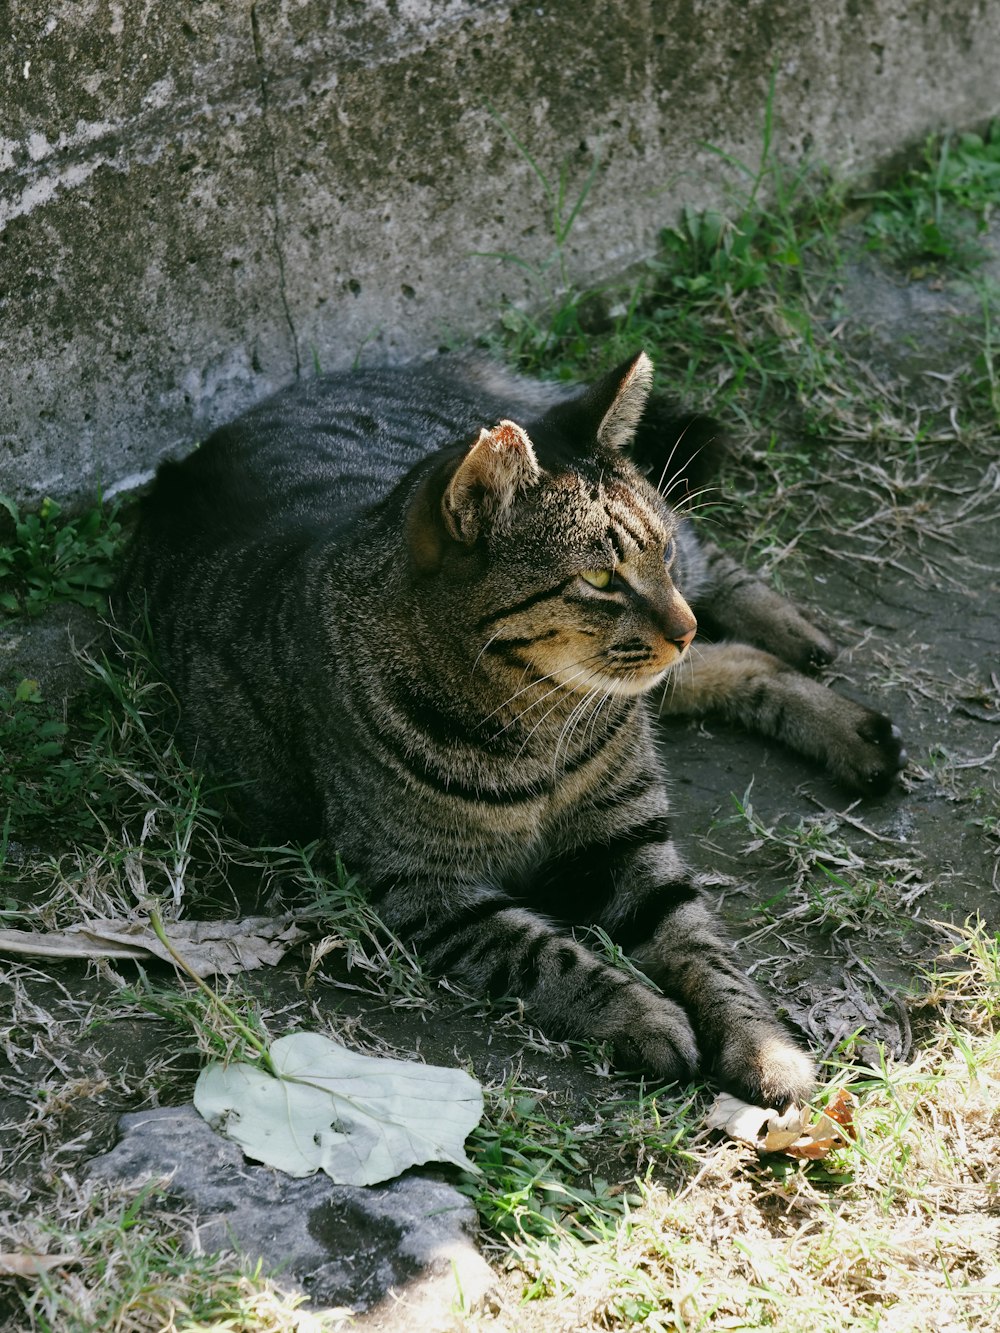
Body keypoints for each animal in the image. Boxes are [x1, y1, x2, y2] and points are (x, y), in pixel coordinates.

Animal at [121, 349, 912, 1109]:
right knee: (725, 664)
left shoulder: (631, 842)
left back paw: (808, 647)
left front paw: (765, 1048)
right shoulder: (423, 889)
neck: (543, 725)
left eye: (659, 555)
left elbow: (706, 952)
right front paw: (647, 1016)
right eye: (602, 579)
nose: (681, 627)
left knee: (725, 592)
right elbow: (549, 956)